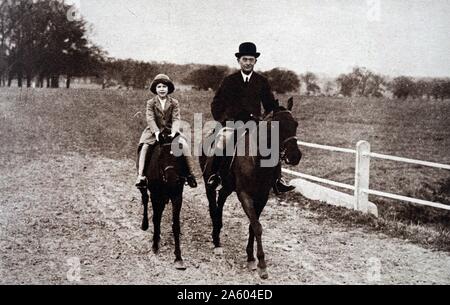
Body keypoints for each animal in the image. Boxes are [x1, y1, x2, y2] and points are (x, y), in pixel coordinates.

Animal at [137, 128, 186, 268]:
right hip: (146, 189)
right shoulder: (155, 196)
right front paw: (155, 246)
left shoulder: (177, 197)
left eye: (178, 155)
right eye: (160, 156)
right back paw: (145, 225)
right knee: (145, 199)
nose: (172, 180)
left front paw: (178, 257)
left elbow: (175, 225)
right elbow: (156, 219)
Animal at [199, 97, 300, 278]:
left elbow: (253, 226)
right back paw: (216, 241)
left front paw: (251, 258)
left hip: (227, 187)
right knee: (213, 207)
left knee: (220, 203)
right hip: (209, 185)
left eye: (295, 124)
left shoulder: (262, 197)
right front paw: (261, 264)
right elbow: (257, 226)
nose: (295, 156)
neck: (257, 160)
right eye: (277, 126)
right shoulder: (245, 195)